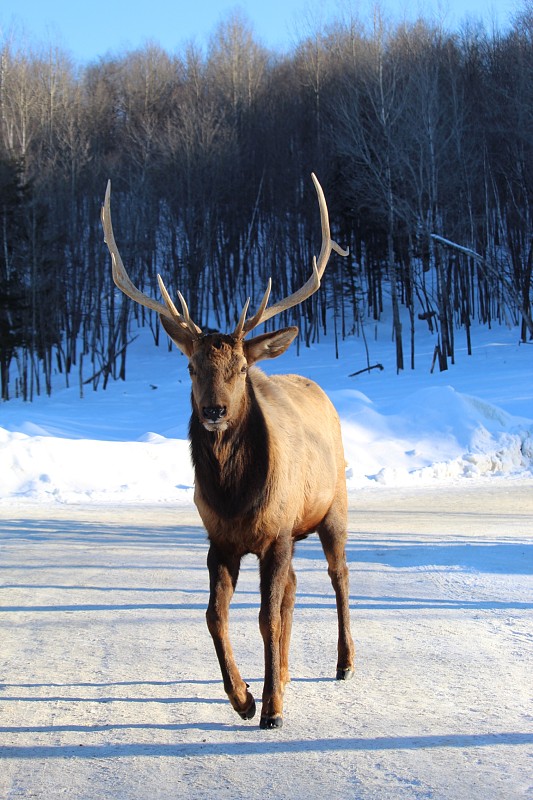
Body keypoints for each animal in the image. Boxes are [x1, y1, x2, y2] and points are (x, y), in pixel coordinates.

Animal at [102, 172, 356, 728]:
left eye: (240, 368)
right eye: (191, 366)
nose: (214, 411)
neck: (237, 497)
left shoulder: (277, 532)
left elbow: (265, 617)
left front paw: (272, 709)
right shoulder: (219, 538)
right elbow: (214, 615)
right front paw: (244, 698)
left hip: (334, 506)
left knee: (337, 576)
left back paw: (345, 663)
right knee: (295, 590)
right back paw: (284, 674)